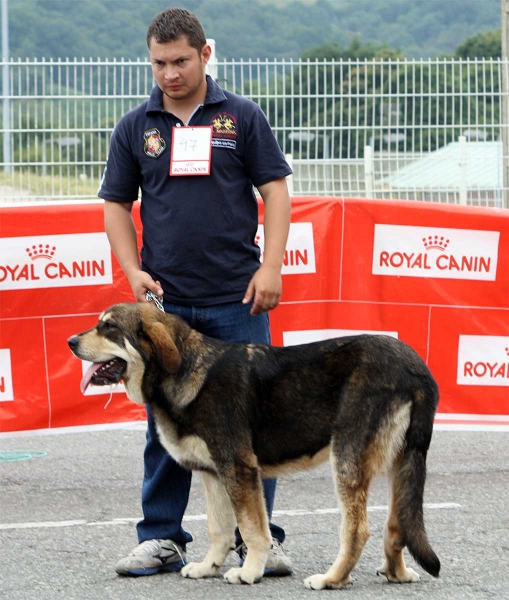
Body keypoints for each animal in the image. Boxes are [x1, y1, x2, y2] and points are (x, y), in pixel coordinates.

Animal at [67, 302, 440, 588]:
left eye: (109, 328)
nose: (70, 341)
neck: (186, 369)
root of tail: (416, 368)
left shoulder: (239, 469)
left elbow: (250, 529)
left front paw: (249, 572)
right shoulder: (214, 474)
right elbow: (220, 530)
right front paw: (209, 567)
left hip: (347, 460)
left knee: (358, 530)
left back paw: (332, 579)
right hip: (401, 463)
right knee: (398, 525)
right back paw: (397, 573)